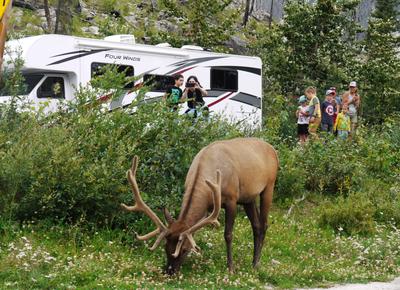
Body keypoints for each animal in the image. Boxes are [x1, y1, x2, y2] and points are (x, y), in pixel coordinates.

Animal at [121, 138, 278, 274]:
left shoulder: (232, 198)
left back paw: (256, 263)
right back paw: (253, 261)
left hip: (269, 186)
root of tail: (274, 151)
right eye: (165, 247)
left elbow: (228, 234)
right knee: (256, 225)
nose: (169, 271)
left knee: (264, 224)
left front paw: (231, 268)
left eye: (184, 249)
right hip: (248, 198)